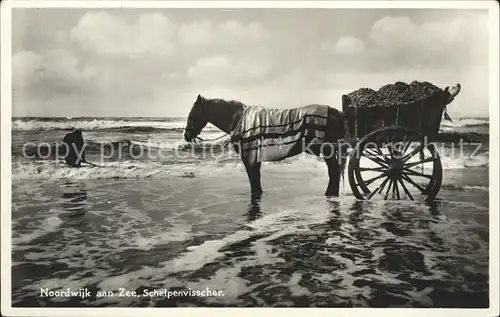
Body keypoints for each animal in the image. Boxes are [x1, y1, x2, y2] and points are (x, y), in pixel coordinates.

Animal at [184, 94, 348, 198]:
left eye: (192, 116)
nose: (186, 136)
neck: (239, 120)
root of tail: (335, 112)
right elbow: (256, 180)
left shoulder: (249, 158)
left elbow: (254, 181)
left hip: (327, 149)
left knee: (334, 171)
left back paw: (330, 194)